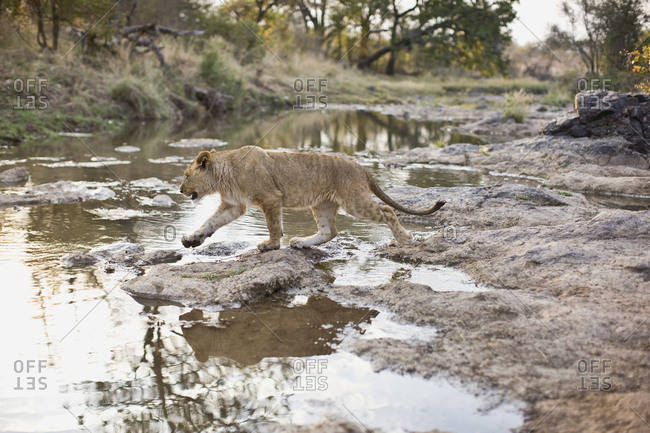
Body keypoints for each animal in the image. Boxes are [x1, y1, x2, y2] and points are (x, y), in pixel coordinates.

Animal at [179, 146, 445, 251]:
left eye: (186, 175)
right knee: (329, 231)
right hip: (322, 204)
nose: (180, 190)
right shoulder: (233, 205)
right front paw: (192, 239)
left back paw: (405, 238)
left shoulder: (271, 197)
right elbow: (210, 222)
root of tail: (361, 167)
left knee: (387, 211)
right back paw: (301, 242)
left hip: (355, 202)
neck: (224, 175)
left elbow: (273, 225)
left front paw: (271, 245)